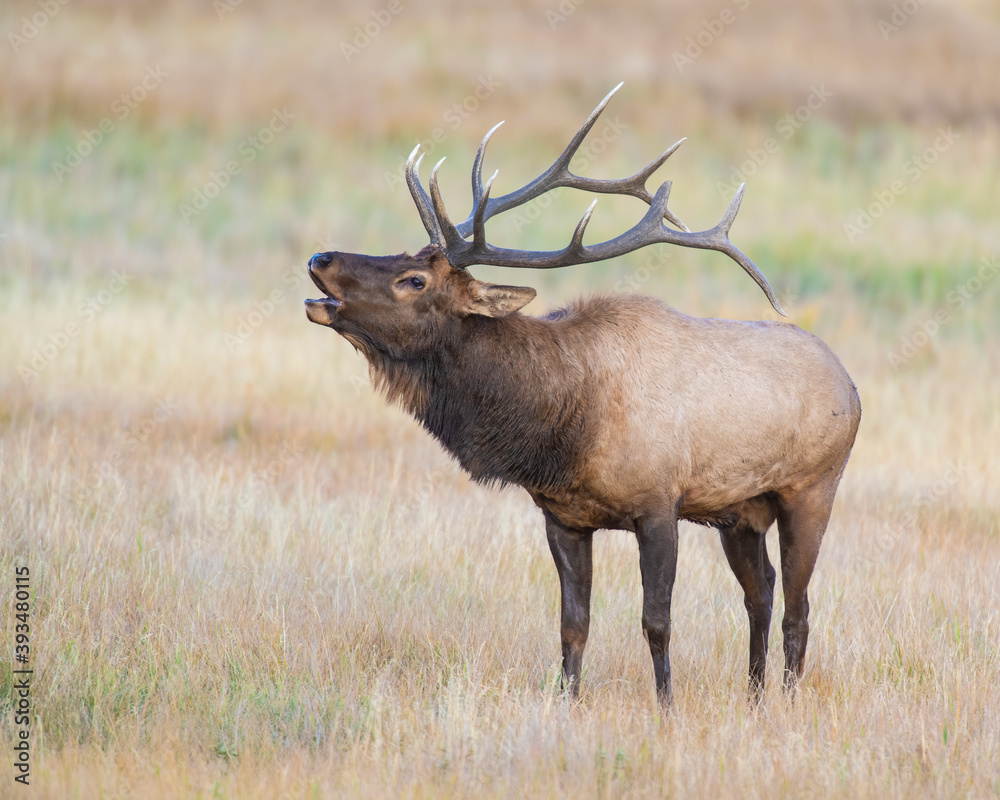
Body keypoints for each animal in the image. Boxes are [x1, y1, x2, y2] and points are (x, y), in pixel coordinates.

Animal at [305, 84, 861, 705]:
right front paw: (567, 702)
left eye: (414, 281)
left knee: (797, 606)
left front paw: (667, 708)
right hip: (741, 511)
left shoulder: (659, 503)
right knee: (760, 592)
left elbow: (656, 621)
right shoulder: (564, 517)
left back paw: (785, 698)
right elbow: (573, 625)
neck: (564, 423)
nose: (319, 258)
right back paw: (756, 696)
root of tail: (850, 383)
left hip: (811, 488)